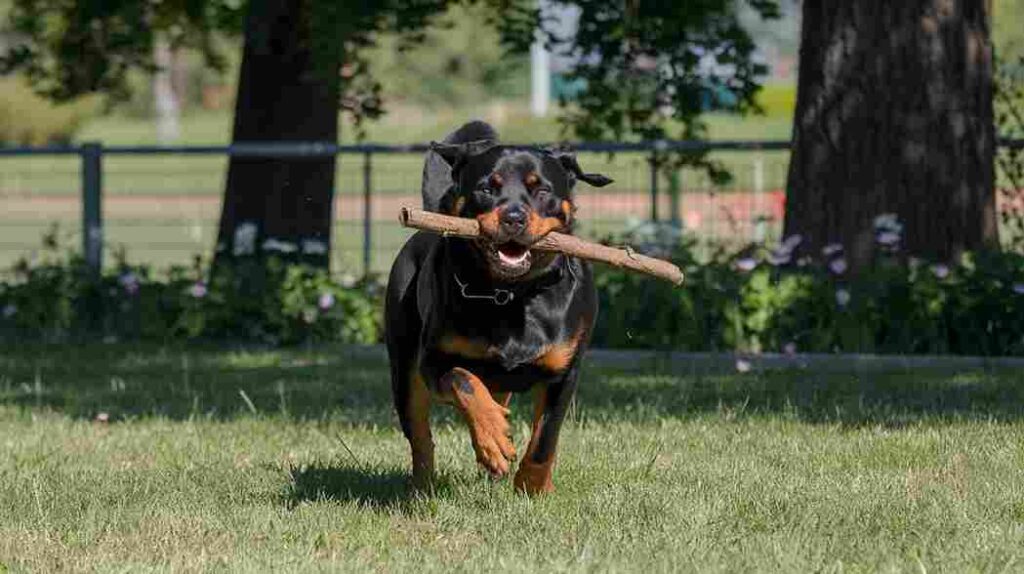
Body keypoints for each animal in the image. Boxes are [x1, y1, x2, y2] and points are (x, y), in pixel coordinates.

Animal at [382, 119, 606, 493]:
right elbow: (463, 379)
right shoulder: (433, 362)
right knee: (420, 435)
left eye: (541, 190)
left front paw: (532, 486)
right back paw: (424, 487)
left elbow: (545, 438)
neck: (511, 295)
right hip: (403, 363)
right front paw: (494, 438)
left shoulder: (564, 371)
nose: (513, 217)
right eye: (487, 188)